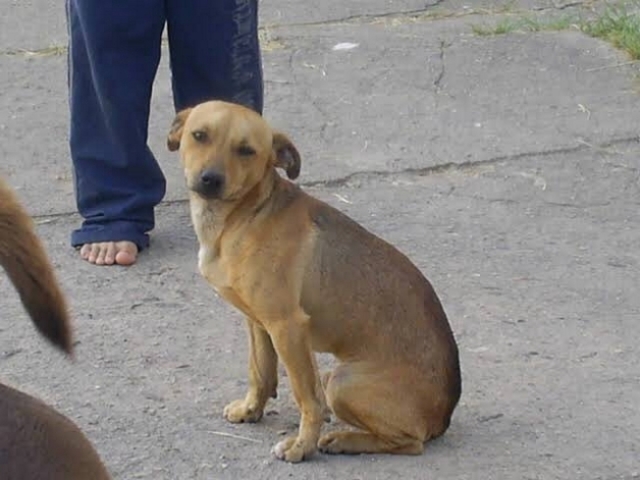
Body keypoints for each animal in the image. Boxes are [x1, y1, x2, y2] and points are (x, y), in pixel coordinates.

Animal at [169, 100, 460, 462]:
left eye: (247, 150)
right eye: (199, 135)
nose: (210, 179)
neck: (246, 214)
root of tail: (443, 416)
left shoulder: (288, 327)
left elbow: (306, 397)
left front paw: (301, 446)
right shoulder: (259, 323)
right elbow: (260, 372)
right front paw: (251, 410)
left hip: (343, 382)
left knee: (409, 442)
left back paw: (342, 439)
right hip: (332, 374)